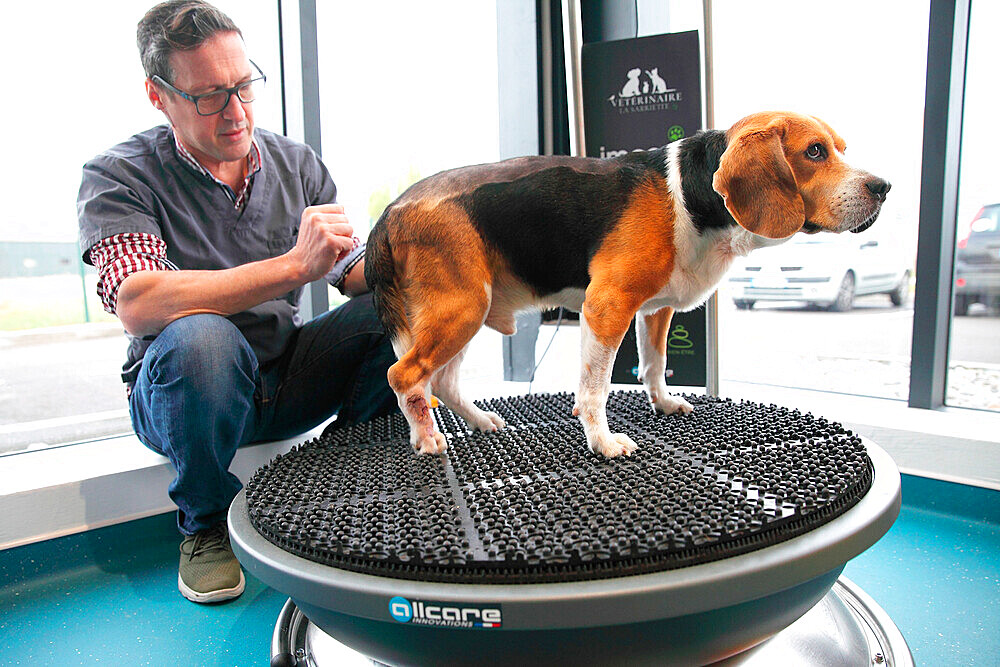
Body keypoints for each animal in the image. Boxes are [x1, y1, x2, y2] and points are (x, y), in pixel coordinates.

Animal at [368, 112, 892, 456]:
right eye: (814, 152)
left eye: (841, 149)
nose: (883, 187)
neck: (690, 192)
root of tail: (392, 209)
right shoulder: (608, 306)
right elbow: (595, 387)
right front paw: (601, 441)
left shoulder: (654, 310)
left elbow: (655, 364)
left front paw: (662, 402)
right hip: (461, 308)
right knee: (404, 376)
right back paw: (426, 438)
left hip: (467, 312)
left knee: (444, 381)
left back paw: (479, 421)